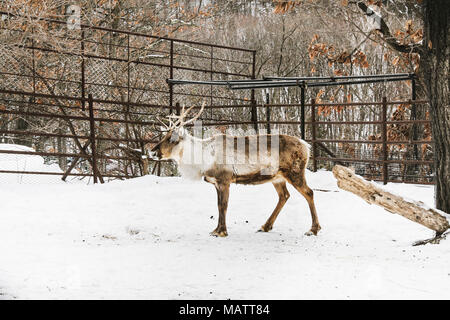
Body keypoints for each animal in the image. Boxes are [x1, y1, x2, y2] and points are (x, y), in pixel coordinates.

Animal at [149, 103, 322, 238]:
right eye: (164, 136)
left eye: (172, 139)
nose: (152, 151)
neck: (203, 158)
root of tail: (306, 146)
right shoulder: (216, 183)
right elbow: (218, 205)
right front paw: (216, 229)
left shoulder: (224, 180)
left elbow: (223, 205)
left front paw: (221, 232)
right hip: (277, 177)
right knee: (284, 196)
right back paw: (265, 226)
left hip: (295, 172)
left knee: (309, 192)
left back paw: (313, 229)